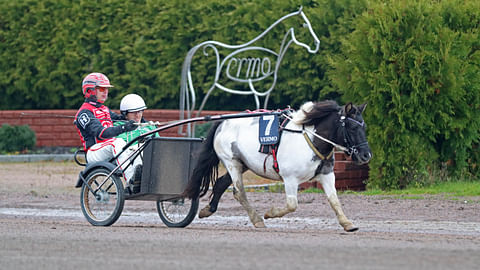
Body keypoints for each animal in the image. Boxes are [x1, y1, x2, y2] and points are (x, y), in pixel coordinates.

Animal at [184, 100, 372, 231]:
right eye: (352, 128)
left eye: (364, 127)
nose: (366, 155)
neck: (311, 140)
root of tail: (222, 122)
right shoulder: (290, 178)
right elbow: (292, 205)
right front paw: (269, 213)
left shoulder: (326, 174)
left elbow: (334, 200)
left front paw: (347, 223)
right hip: (231, 162)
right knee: (239, 192)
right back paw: (257, 219)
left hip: (242, 163)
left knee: (221, 184)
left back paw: (208, 209)